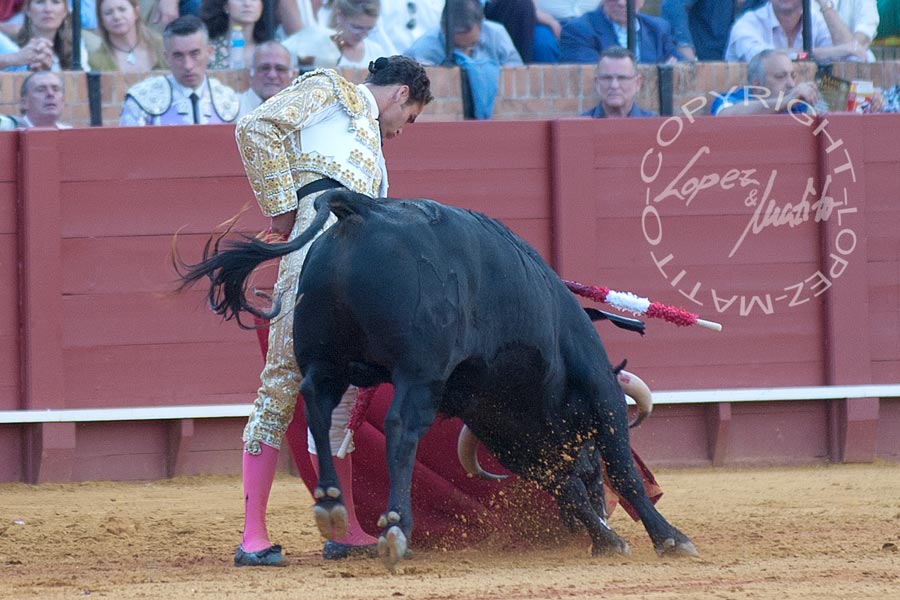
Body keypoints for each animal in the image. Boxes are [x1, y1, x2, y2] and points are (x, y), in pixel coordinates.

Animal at [176, 191, 696, 568]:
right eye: (585, 446)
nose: (600, 500)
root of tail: (359, 209)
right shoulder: (597, 389)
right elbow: (622, 468)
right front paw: (668, 538)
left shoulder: (501, 427)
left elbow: (560, 483)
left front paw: (605, 538)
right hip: (417, 372)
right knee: (400, 429)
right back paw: (394, 527)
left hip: (327, 360)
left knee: (317, 410)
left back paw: (330, 504)